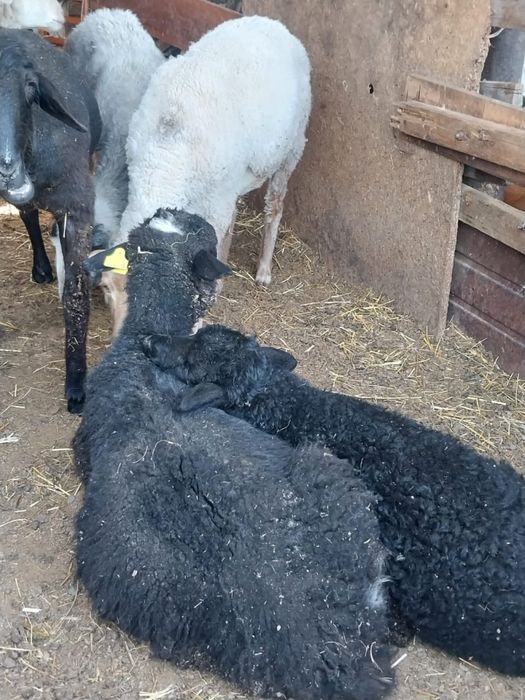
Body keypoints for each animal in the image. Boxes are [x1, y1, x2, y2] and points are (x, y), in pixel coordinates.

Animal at [0, 28, 100, 412]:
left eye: (31, 87)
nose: (7, 168)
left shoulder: (78, 207)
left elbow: (76, 293)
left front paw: (76, 381)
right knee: (28, 214)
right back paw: (42, 267)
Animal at [98, 15, 310, 336]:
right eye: (107, 290)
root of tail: (271, 22)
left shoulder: (215, 200)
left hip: (291, 149)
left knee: (274, 207)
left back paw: (263, 270)